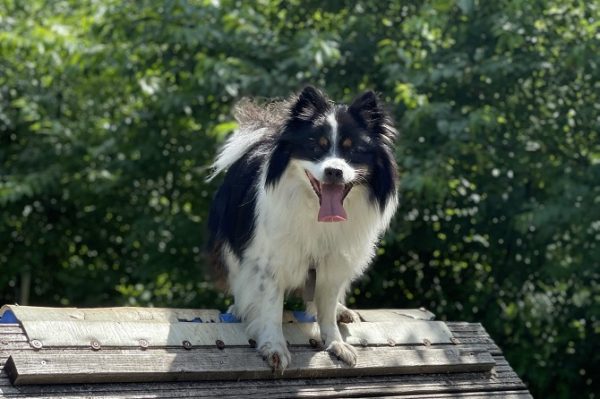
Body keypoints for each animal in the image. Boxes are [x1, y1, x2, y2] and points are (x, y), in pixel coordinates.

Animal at [207, 86, 398, 370]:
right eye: (315, 147)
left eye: (353, 151)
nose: (334, 171)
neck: (317, 212)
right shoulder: (269, 261)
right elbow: (271, 307)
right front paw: (274, 348)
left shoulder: (333, 263)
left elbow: (327, 307)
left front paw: (336, 343)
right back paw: (239, 309)